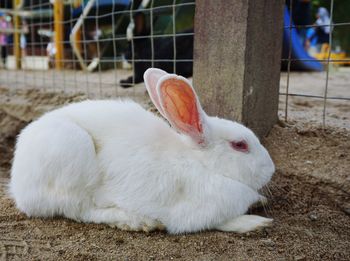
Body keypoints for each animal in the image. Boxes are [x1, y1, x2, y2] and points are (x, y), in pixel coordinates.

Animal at [9, 68, 274, 233]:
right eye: (240, 145)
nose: (271, 169)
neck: (200, 163)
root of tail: (17, 185)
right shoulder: (193, 213)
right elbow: (223, 221)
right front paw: (256, 223)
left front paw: (260, 201)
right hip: (72, 153)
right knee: (80, 210)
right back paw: (138, 222)